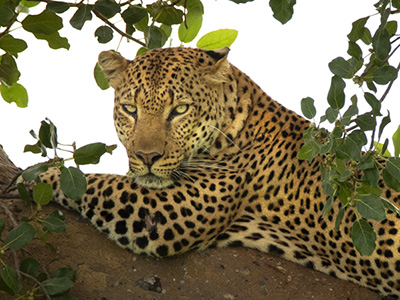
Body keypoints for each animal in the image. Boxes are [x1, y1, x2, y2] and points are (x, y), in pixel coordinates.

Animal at [39, 47, 400, 298]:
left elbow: (99, 184)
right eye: (130, 109)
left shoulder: (174, 209)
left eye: (180, 110)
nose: (147, 156)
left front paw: (41, 177)